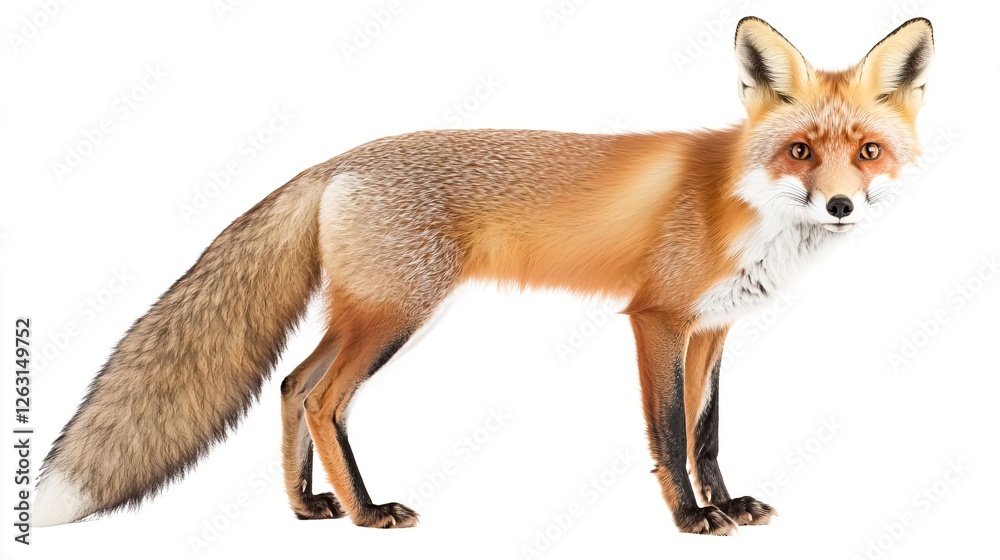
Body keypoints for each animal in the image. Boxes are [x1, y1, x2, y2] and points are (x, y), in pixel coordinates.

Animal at [34, 16, 933, 535]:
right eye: (800, 150)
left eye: (868, 151)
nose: (842, 205)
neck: (743, 206)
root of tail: (336, 161)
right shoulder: (657, 320)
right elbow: (669, 433)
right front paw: (690, 518)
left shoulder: (711, 328)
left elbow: (708, 434)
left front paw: (725, 502)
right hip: (396, 315)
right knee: (322, 399)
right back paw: (366, 512)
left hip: (369, 313)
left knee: (290, 385)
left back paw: (306, 508)